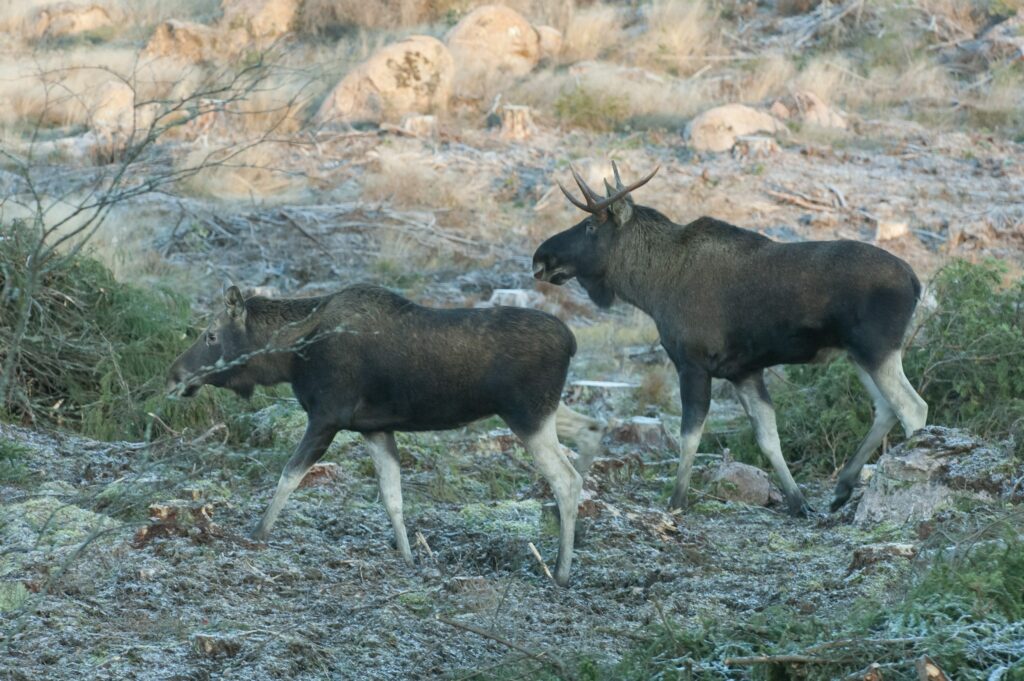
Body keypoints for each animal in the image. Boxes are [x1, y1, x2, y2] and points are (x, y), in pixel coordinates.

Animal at [165, 280, 598, 585]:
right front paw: (407, 557)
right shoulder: (374, 429)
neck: (291, 356)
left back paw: (561, 571)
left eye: (211, 335)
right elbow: (393, 497)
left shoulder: (327, 416)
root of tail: (574, 342)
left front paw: (258, 532)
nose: (174, 375)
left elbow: (289, 475)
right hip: (543, 410)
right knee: (592, 429)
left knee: (566, 479)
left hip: (527, 413)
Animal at [536, 163, 929, 516]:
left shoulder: (693, 363)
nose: (540, 258)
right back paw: (842, 488)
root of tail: (915, 282)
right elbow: (768, 438)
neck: (651, 288)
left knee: (913, 407)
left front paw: (676, 501)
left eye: (589, 226)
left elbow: (690, 434)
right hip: (859, 353)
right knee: (886, 409)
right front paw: (797, 502)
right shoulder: (743, 371)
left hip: (877, 347)